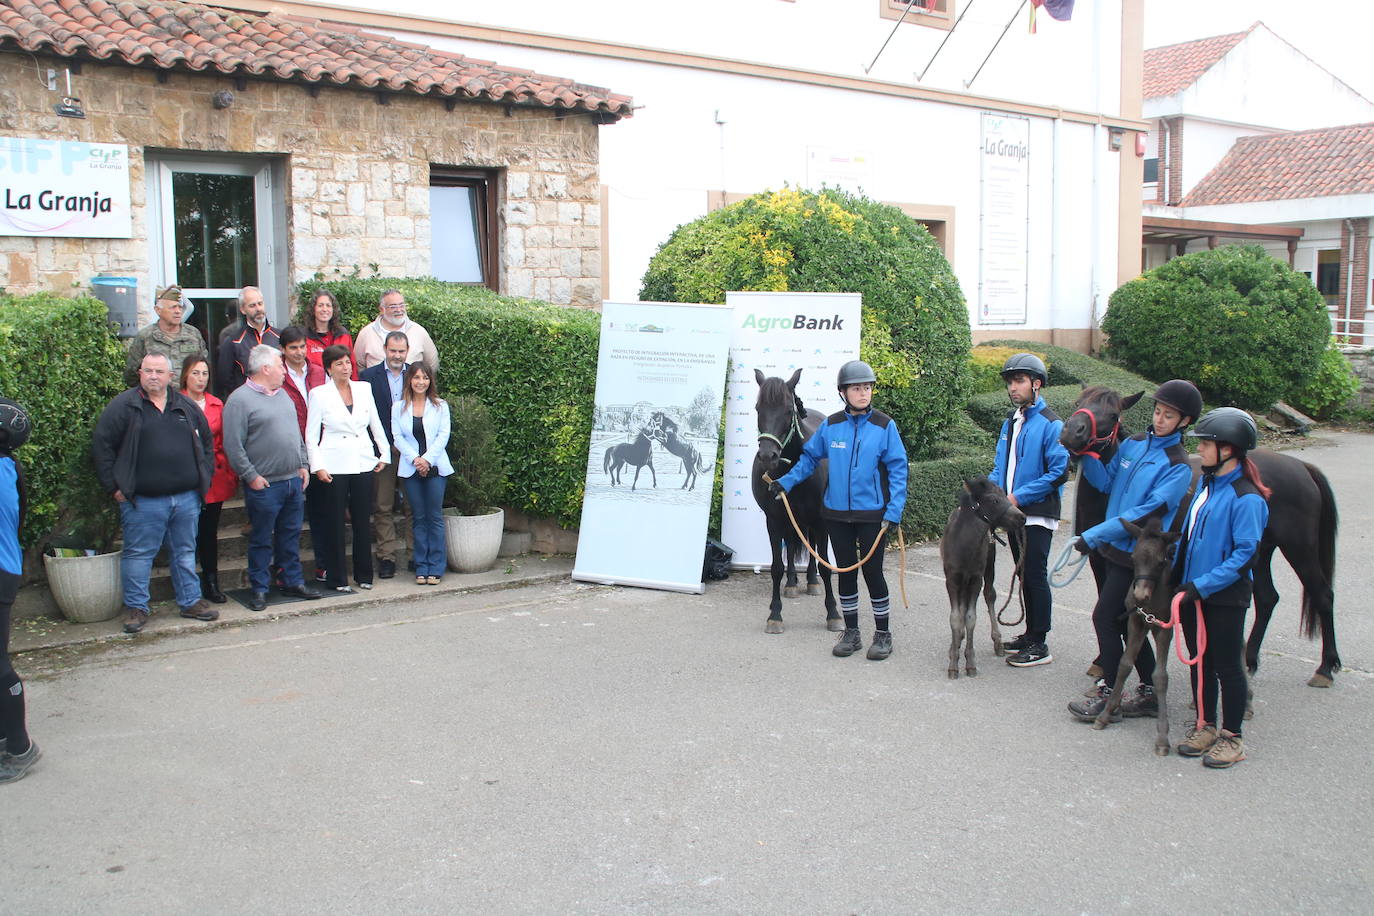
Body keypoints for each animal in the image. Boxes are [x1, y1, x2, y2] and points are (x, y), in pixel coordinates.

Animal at [752, 368, 835, 634]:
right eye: (758, 408)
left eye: (789, 409)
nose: (768, 456)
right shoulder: (774, 519)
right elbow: (776, 567)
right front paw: (775, 615)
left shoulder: (820, 521)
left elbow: (825, 565)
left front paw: (833, 614)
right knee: (790, 545)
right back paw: (791, 583)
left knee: (811, 549)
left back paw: (810, 581)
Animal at [939, 477, 1027, 678]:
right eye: (994, 500)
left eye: (1005, 495)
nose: (1022, 517)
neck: (965, 547)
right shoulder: (952, 579)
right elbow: (955, 617)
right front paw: (953, 662)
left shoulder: (975, 578)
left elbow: (971, 617)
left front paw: (969, 662)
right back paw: (956, 641)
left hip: (989, 566)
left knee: (989, 595)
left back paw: (997, 641)